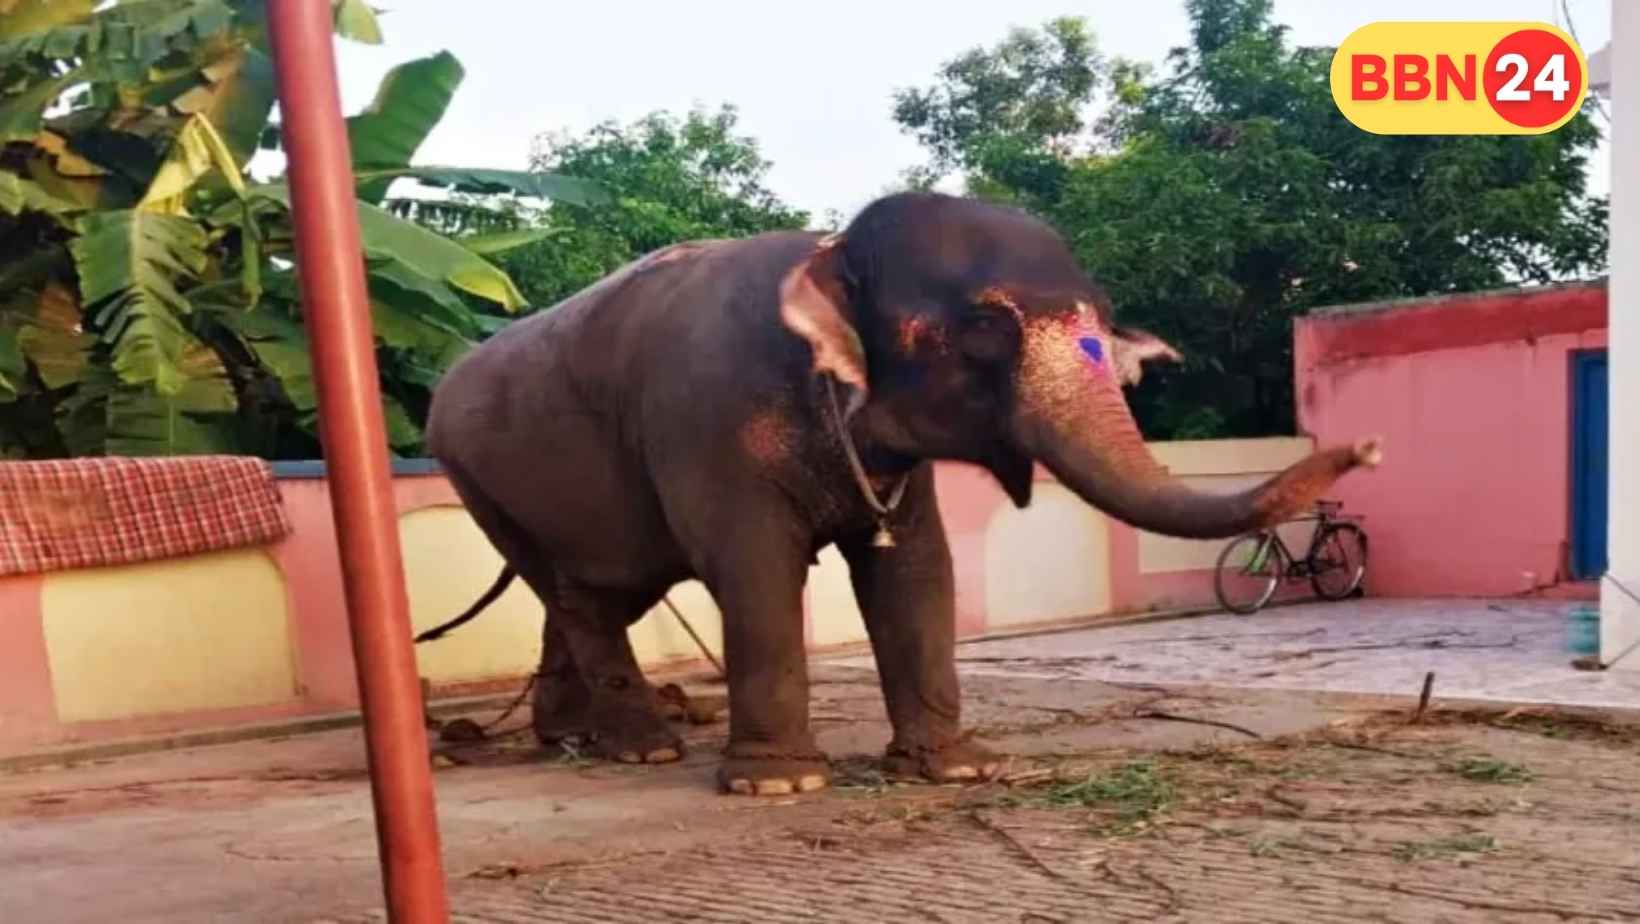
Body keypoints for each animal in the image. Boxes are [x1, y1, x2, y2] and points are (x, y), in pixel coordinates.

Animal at [423, 191, 1382, 796]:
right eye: (985, 329)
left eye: (1106, 323)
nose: (1368, 445)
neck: (829, 253)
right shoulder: (707, 425)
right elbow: (754, 569)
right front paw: (781, 784)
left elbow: (917, 568)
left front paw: (958, 769)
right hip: (478, 478)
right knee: (585, 597)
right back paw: (644, 753)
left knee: (590, 594)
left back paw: (570, 739)